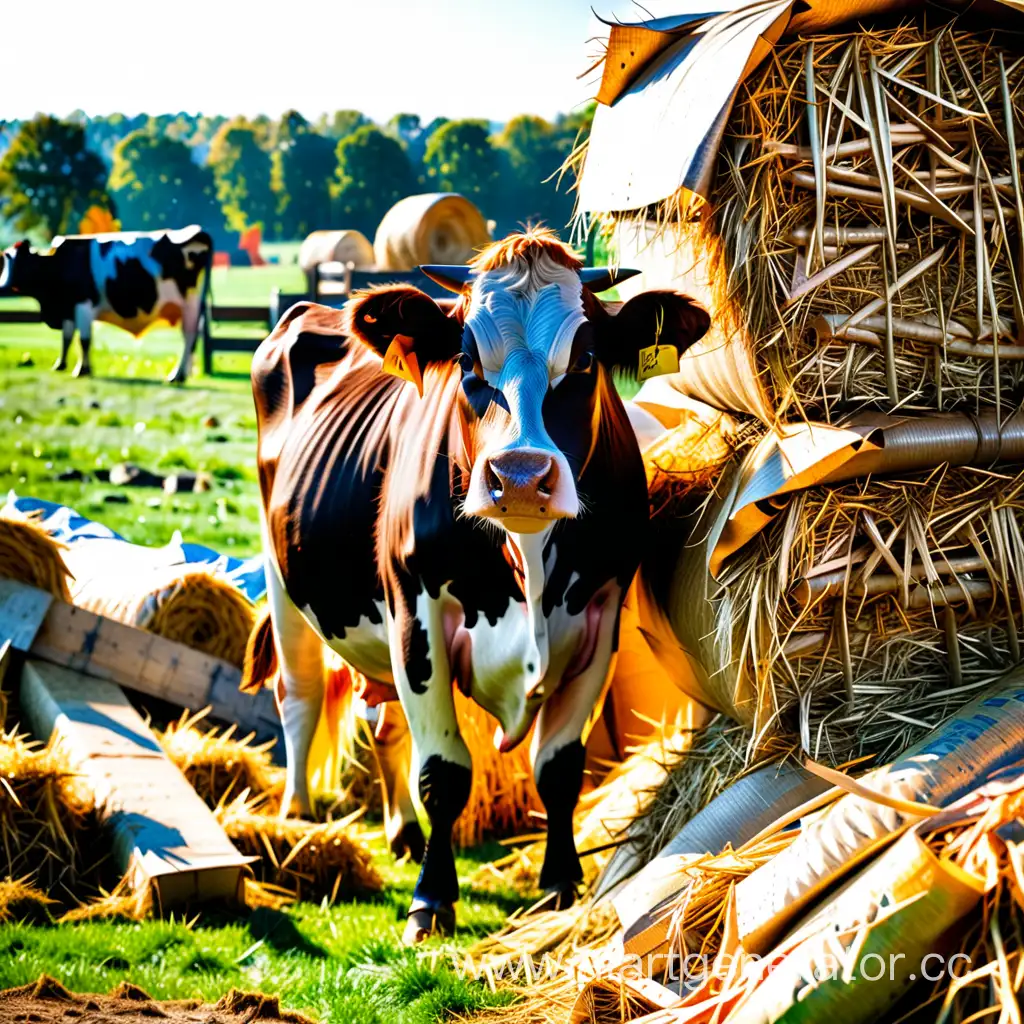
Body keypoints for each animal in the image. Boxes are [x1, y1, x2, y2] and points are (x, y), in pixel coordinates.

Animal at [0, 226, 211, 382]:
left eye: (16, 261)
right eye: (6, 258)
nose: (2, 286)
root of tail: (196, 231)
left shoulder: (83, 304)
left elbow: (84, 340)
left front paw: (81, 370)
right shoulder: (68, 307)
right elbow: (67, 337)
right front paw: (60, 365)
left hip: (190, 304)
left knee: (189, 337)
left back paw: (176, 376)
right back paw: (183, 374)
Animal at [248, 232, 712, 942]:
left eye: (585, 358)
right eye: (467, 359)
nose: (519, 475)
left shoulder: (600, 617)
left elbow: (558, 768)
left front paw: (560, 884)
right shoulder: (416, 611)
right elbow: (443, 772)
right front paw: (431, 900)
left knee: (380, 722)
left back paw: (403, 834)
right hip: (285, 581)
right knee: (297, 697)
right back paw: (297, 817)